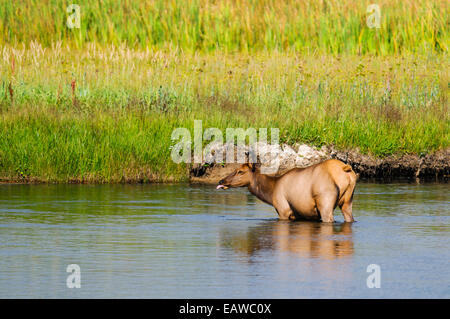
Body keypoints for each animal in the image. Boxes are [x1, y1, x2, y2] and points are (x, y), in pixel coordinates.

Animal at [216, 159, 356, 224]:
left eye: (240, 171)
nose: (221, 180)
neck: (271, 191)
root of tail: (345, 169)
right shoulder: (303, 214)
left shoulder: (283, 209)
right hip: (347, 201)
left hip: (325, 202)